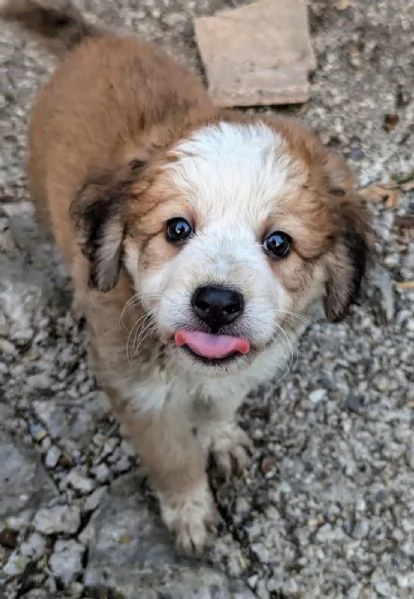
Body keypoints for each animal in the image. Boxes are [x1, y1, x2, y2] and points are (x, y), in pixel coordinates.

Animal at [1, 0, 370, 556]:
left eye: (279, 243)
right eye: (177, 228)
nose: (216, 303)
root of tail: (96, 41)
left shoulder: (236, 371)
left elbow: (221, 403)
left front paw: (219, 437)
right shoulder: (140, 397)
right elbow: (175, 458)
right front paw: (191, 511)